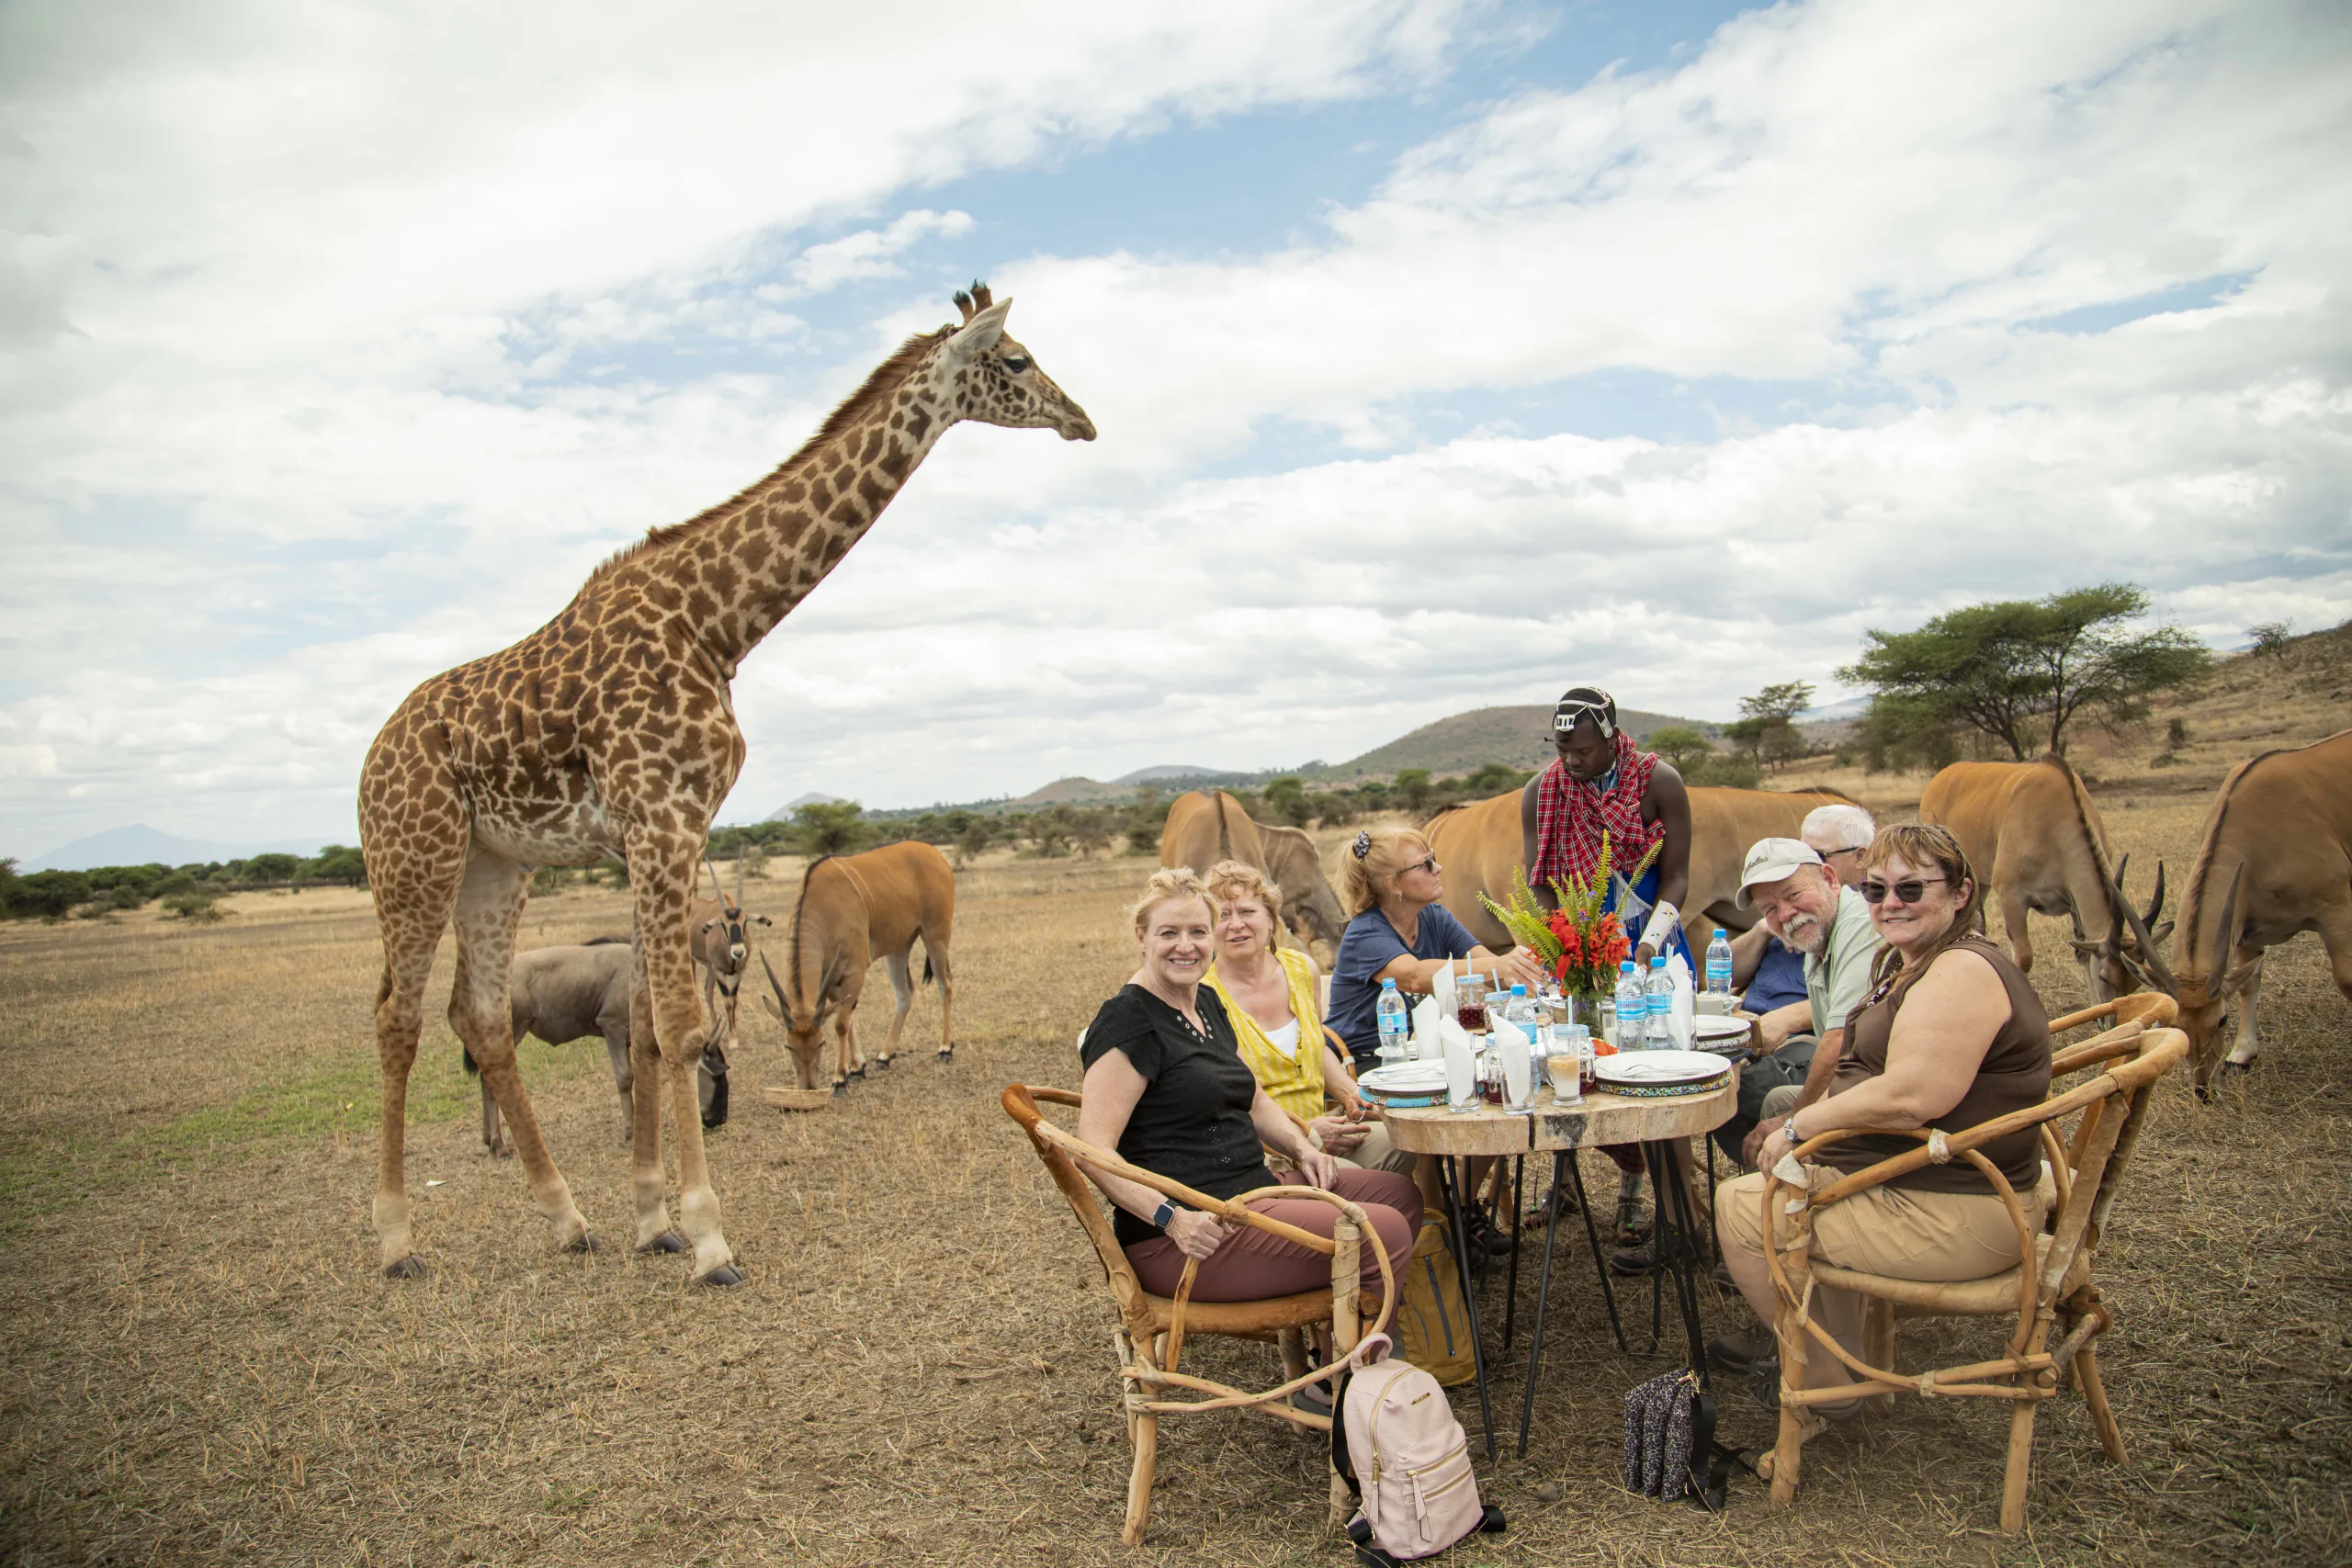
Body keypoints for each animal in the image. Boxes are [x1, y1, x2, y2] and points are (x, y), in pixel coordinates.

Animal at [358, 285, 1093, 1284]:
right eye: (1016, 360)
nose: (1081, 420)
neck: (716, 622)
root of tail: (372, 756)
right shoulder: (658, 817)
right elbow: (677, 1023)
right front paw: (708, 1236)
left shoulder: (666, 825)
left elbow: (646, 1016)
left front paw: (648, 1220)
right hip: (414, 857)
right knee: (396, 1017)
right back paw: (397, 1239)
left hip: (495, 863)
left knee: (479, 1018)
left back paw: (567, 1218)